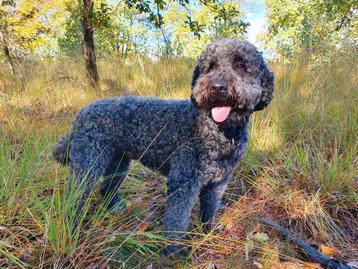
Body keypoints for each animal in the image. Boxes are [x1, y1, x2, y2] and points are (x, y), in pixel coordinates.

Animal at [52, 38, 274, 253]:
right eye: (210, 66)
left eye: (240, 65)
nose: (217, 87)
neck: (220, 131)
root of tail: (81, 113)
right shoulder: (182, 182)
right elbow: (177, 219)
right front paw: (175, 249)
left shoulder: (218, 183)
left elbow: (209, 209)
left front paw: (208, 232)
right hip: (87, 164)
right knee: (74, 199)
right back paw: (71, 228)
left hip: (117, 162)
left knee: (107, 188)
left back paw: (115, 208)